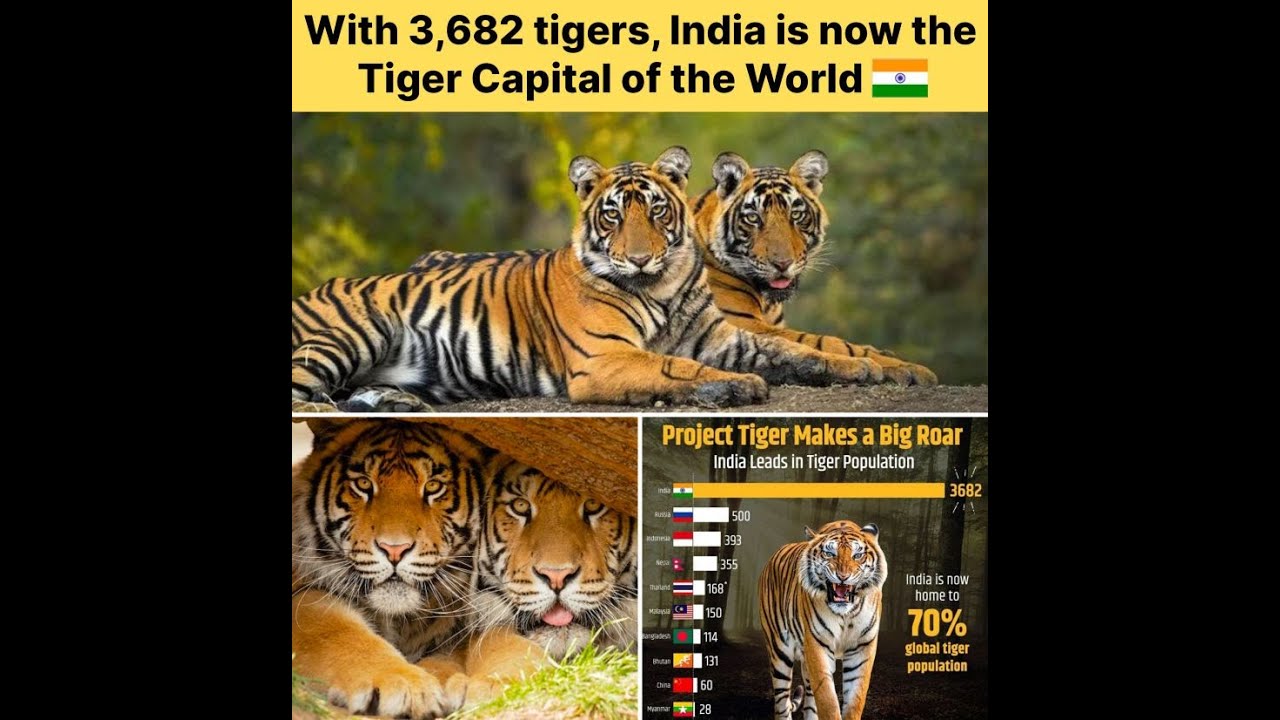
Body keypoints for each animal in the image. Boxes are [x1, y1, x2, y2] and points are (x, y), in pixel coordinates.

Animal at [291, 146, 888, 413]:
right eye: (613, 216)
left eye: (655, 211)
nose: (642, 259)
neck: (661, 286)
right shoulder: (604, 357)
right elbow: (671, 366)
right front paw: (736, 386)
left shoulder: (723, 336)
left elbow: (800, 348)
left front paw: (862, 368)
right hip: (351, 333)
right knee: (304, 394)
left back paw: (391, 403)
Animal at [291, 419, 490, 719]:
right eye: (363, 484)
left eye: (433, 487)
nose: (394, 549)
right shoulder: (306, 596)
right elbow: (338, 633)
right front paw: (405, 684)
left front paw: (449, 681)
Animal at [691, 150, 938, 386]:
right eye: (753, 218)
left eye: (796, 215)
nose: (782, 263)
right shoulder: (740, 323)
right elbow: (825, 342)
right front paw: (905, 367)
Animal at [759, 520, 887, 720]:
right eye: (829, 553)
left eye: (857, 555)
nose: (843, 577)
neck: (846, 614)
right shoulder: (817, 646)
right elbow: (827, 700)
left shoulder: (862, 648)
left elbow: (855, 700)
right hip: (779, 651)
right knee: (782, 704)